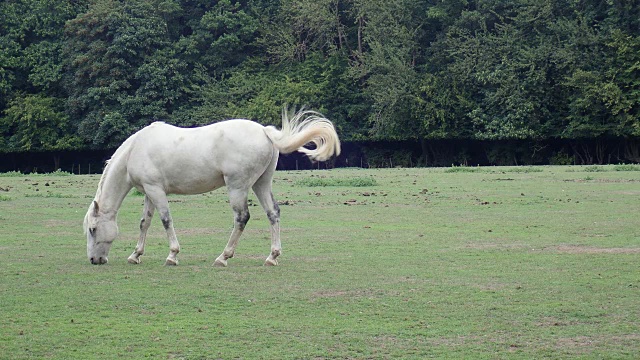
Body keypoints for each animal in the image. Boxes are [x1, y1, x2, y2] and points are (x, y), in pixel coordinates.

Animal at [84, 108, 340, 266]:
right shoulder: (149, 191)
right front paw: (135, 255)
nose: (94, 260)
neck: (136, 149)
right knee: (273, 213)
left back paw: (223, 257)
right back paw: (272, 256)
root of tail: (265, 132)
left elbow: (166, 220)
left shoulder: (156, 190)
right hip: (261, 184)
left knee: (242, 218)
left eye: (93, 229)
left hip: (237, 187)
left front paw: (172, 255)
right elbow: (144, 222)